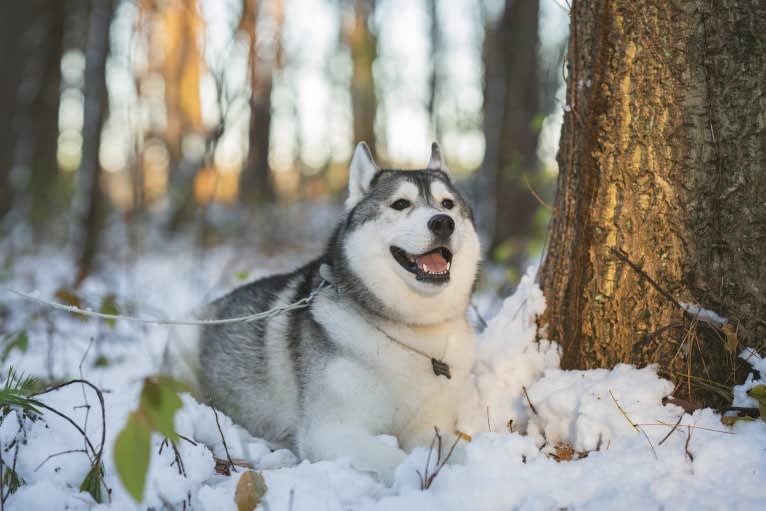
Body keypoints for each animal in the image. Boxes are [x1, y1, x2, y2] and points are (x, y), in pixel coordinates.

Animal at [201, 142, 484, 482]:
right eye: (400, 204)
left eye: (448, 204)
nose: (442, 222)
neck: (408, 330)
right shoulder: (330, 431)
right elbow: (395, 458)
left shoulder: (430, 427)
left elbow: (460, 451)